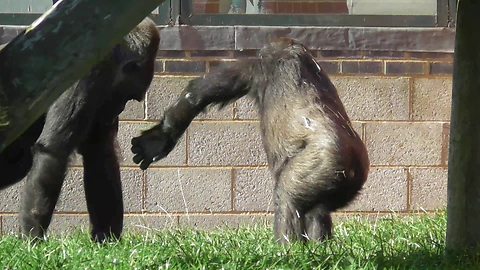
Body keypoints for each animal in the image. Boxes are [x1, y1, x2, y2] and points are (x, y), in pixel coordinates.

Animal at [129, 37, 370, 243]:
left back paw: (287, 251)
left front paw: (159, 138)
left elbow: (197, 95)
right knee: (317, 211)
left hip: (324, 163)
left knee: (287, 198)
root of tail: (353, 161)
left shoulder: (256, 68)